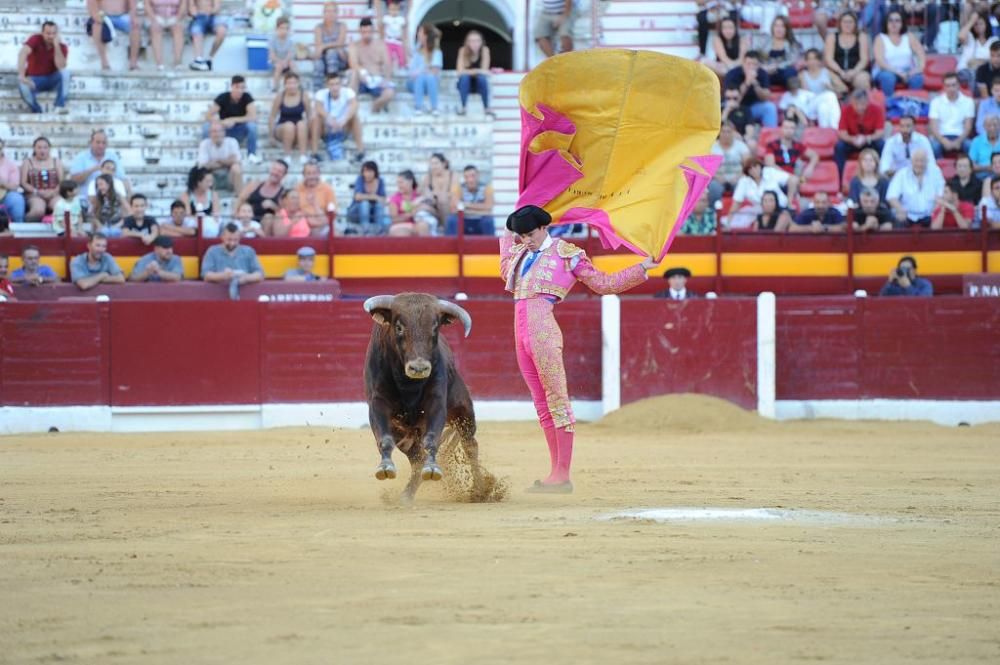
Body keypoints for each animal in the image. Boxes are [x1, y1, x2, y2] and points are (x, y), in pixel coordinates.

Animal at [364, 294, 484, 500]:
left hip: (464, 412)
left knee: (470, 445)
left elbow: (432, 438)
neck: (408, 385)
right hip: (405, 435)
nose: (419, 368)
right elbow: (384, 439)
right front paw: (385, 467)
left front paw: (433, 468)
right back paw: (406, 495)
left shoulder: (436, 403)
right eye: (399, 327)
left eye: (435, 328)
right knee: (417, 459)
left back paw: (480, 490)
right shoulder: (378, 404)